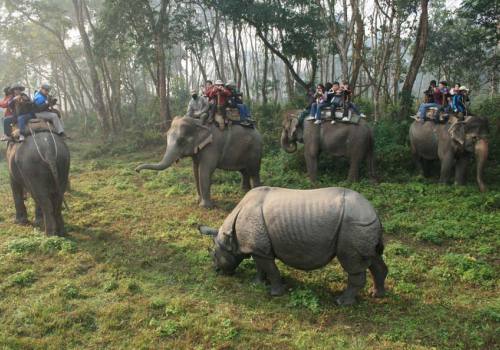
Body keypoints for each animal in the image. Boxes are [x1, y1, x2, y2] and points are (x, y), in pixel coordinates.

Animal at [135, 117, 264, 208]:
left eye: (181, 141)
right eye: (166, 136)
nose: (136, 170)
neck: (198, 123)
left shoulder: (212, 147)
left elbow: (204, 171)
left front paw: (205, 207)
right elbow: (195, 170)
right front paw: (197, 200)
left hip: (255, 149)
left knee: (254, 170)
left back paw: (255, 192)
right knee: (243, 171)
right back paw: (244, 191)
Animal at [198, 187, 386, 304]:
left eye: (214, 255)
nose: (216, 270)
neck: (231, 236)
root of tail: (374, 211)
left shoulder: (259, 248)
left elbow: (271, 270)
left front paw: (275, 293)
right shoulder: (258, 248)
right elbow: (261, 267)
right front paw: (256, 283)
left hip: (353, 226)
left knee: (352, 264)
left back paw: (342, 302)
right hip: (363, 225)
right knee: (374, 258)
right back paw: (377, 294)